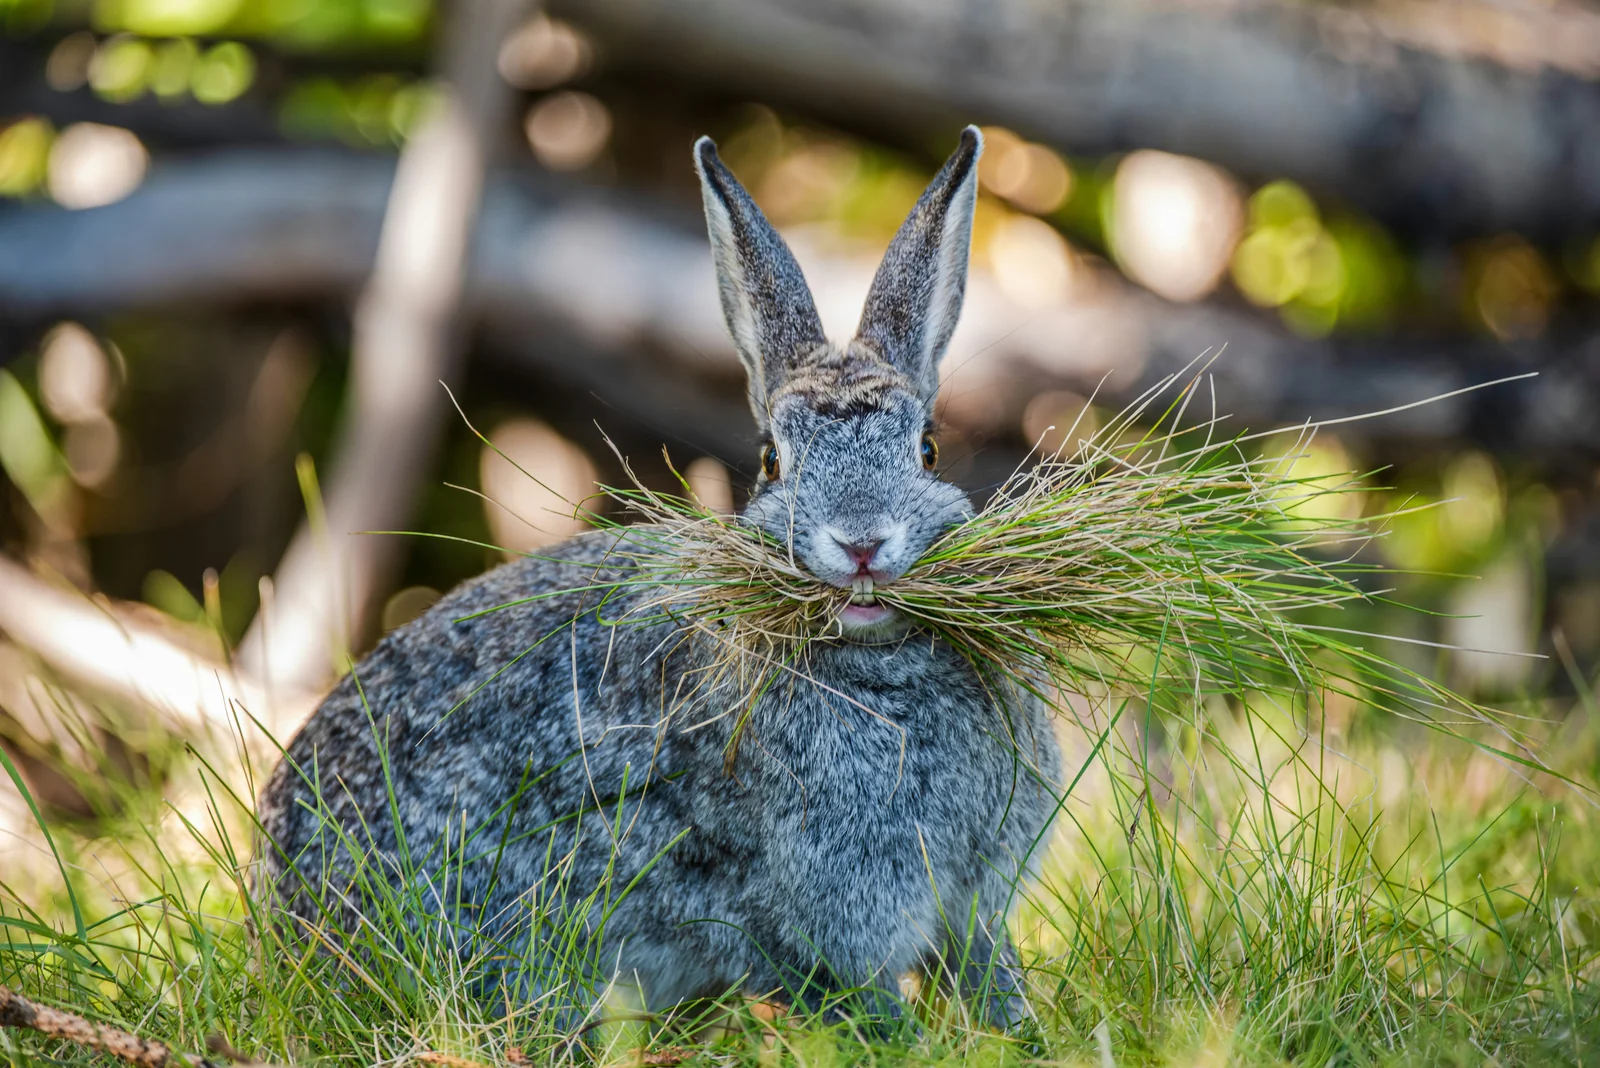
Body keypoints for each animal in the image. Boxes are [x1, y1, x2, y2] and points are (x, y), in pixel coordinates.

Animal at [254, 126, 1063, 1030]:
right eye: (771, 462)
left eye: (927, 449)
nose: (860, 542)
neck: (879, 663)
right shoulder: (826, 911)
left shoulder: (974, 901)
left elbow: (985, 969)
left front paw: (1022, 1031)